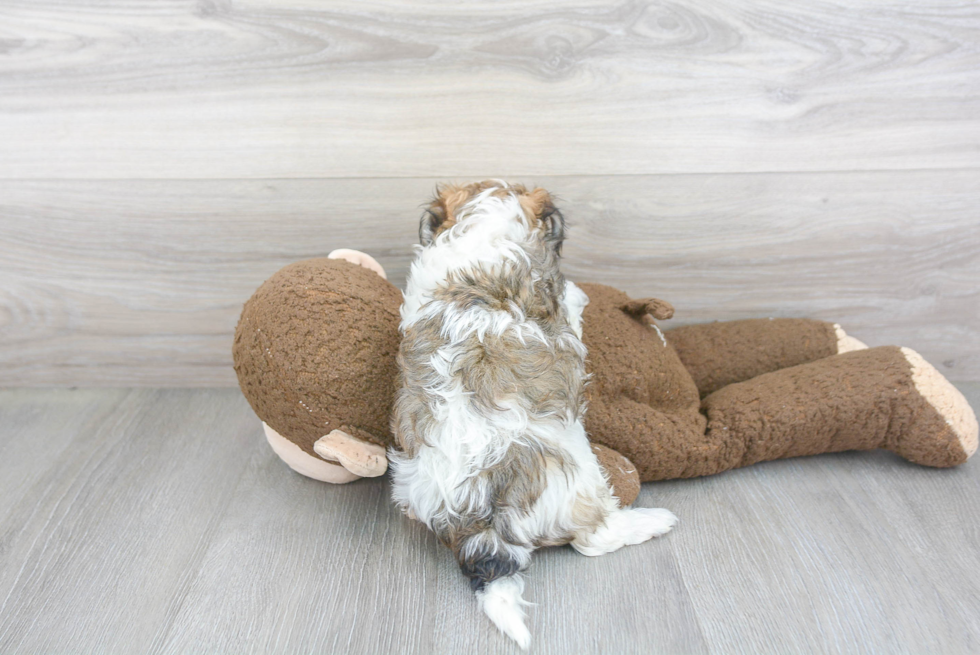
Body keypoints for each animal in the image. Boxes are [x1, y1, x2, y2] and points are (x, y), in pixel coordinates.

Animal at [386, 181, 676, 652]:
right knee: (593, 538)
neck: (483, 227)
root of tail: (479, 519)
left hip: (409, 481)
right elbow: (571, 300)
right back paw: (652, 522)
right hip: (580, 480)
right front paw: (580, 292)